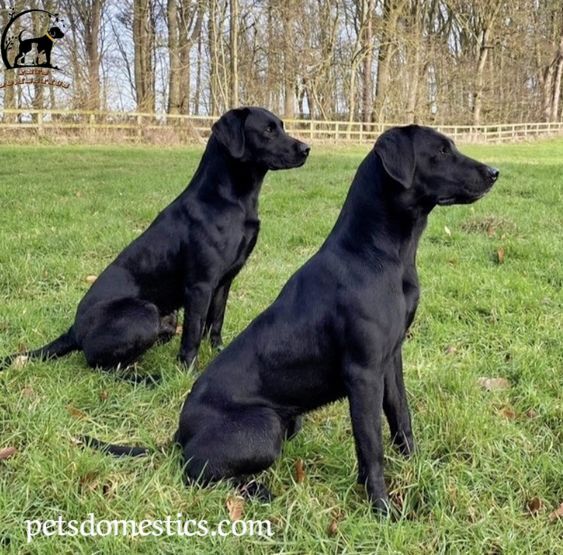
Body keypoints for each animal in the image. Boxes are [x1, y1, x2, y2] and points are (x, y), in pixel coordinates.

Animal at [0, 107, 310, 376]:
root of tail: (74, 330)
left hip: (166, 317)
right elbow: (193, 334)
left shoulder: (225, 282)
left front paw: (219, 353)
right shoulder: (200, 286)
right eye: (268, 130)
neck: (230, 200)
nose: (306, 149)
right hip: (145, 312)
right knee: (105, 368)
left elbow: (216, 323)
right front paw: (189, 373)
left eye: (281, 126)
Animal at [78, 125, 498, 512]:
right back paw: (257, 491)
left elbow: (401, 419)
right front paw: (382, 508)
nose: (494, 172)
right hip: (264, 426)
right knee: (196, 471)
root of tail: (179, 434)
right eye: (440, 151)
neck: (378, 254)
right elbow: (371, 446)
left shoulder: (390, 361)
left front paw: (417, 468)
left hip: (288, 422)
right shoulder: (363, 373)